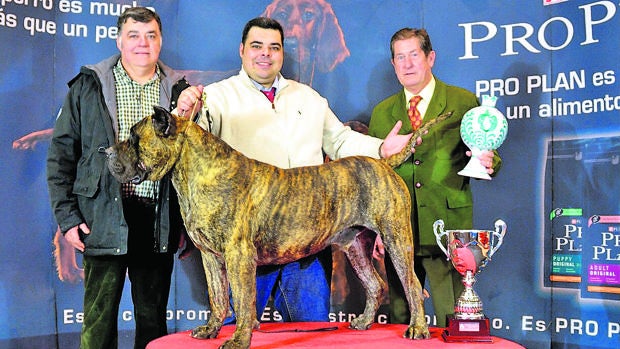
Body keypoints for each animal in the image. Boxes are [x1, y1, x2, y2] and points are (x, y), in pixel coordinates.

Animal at [106, 106, 452, 348]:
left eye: (135, 139)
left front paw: (239, 340)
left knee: (411, 285)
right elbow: (218, 298)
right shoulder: (211, 257)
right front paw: (211, 330)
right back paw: (364, 322)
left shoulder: (238, 255)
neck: (194, 174)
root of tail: (383, 162)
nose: (106, 151)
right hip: (353, 245)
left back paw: (418, 329)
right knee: (376, 284)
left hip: (397, 239)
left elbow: (243, 301)